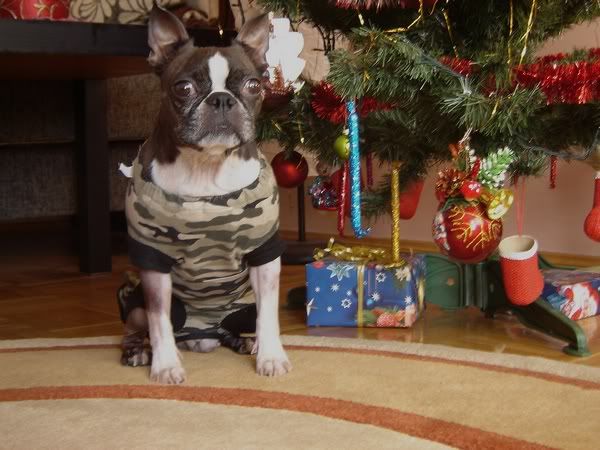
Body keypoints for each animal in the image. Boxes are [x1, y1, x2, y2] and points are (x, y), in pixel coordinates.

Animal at [117, 4, 291, 384]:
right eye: (183, 87)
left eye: (254, 85)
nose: (222, 99)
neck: (207, 166)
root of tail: (203, 335)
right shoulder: (154, 261)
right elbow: (159, 320)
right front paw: (165, 365)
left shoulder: (264, 254)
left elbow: (270, 314)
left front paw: (271, 356)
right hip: (137, 304)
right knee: (141, 324)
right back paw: (138, 350)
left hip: (242, 306)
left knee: (246, 321)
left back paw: (246, 342)